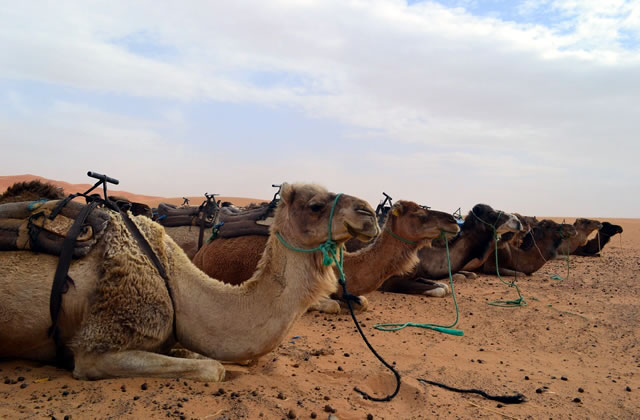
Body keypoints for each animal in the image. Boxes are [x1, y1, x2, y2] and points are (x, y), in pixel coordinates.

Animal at [378, 203, 524, 296]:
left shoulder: (418, 274)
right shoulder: (389, 281)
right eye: (491, 213)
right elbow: (441, 290)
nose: (517, 221)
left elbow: (443, 286)